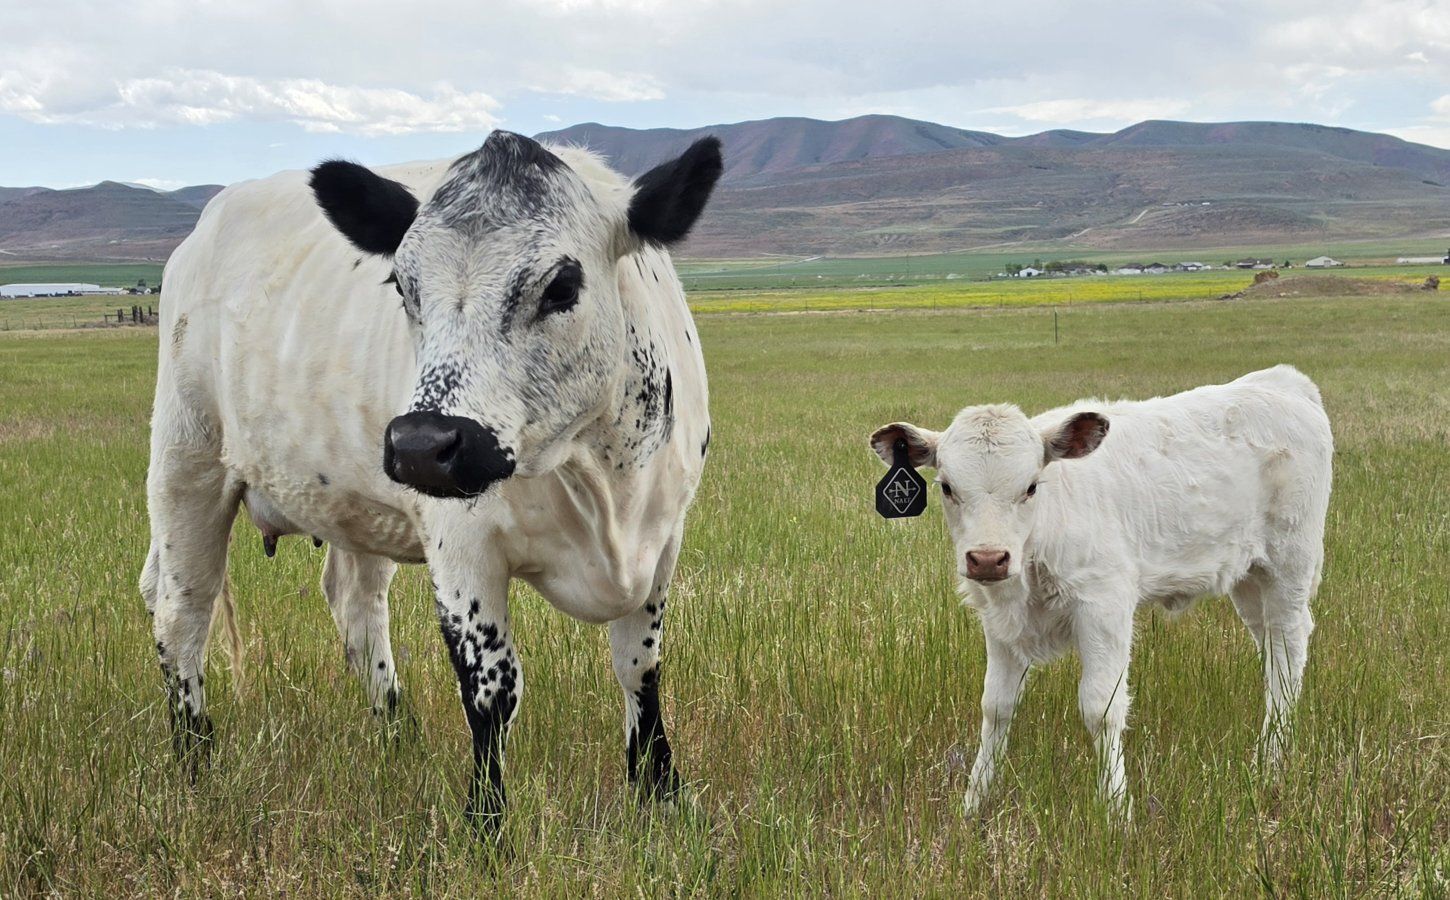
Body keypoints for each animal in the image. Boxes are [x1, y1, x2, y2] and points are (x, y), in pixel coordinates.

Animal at [141, 130, 723, 832]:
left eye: (561, 285)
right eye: (402, 284)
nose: (422, 446)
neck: (602, 479)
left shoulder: (662, 540)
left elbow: (640, 667)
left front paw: (660, 791)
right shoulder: (463, 549)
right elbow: (493, 689)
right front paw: (486, 824)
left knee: (356, 603)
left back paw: (398, 736)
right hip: (186, 460)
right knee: (182, 611)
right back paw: (194, 763)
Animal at [870, 366, 1333, 819]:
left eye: (1031, 486)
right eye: (947, 487)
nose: (987, 558)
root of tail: (1282, 382)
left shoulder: (1103, 606)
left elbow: (1101, 709)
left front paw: (1116, 810)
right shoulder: (999, 621)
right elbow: (995, 707)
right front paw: (973, 802)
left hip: (1289, 565)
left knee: (1289, 655)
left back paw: (1270, 762)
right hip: (1249, 579)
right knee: (1271, 651)